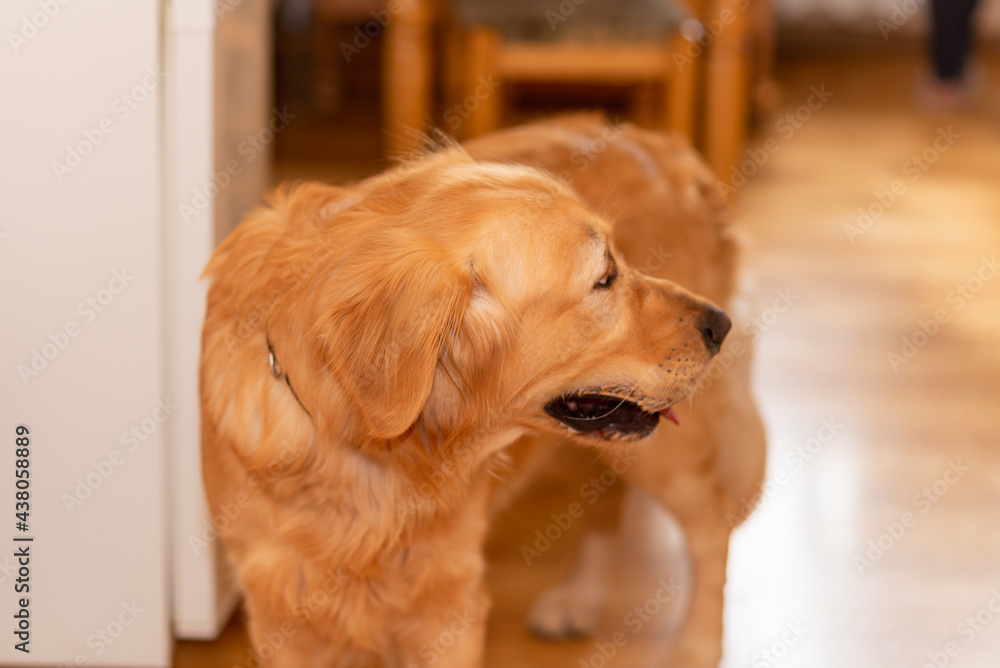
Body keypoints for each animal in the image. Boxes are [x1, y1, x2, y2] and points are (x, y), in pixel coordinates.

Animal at [201, 116, 764, 668]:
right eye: (605, 277)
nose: (720, 324)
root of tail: (657, 141)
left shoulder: (451, 607)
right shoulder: (281, 616)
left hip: (668, 458)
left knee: (712, 531)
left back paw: (697, 648)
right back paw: (580, 598)